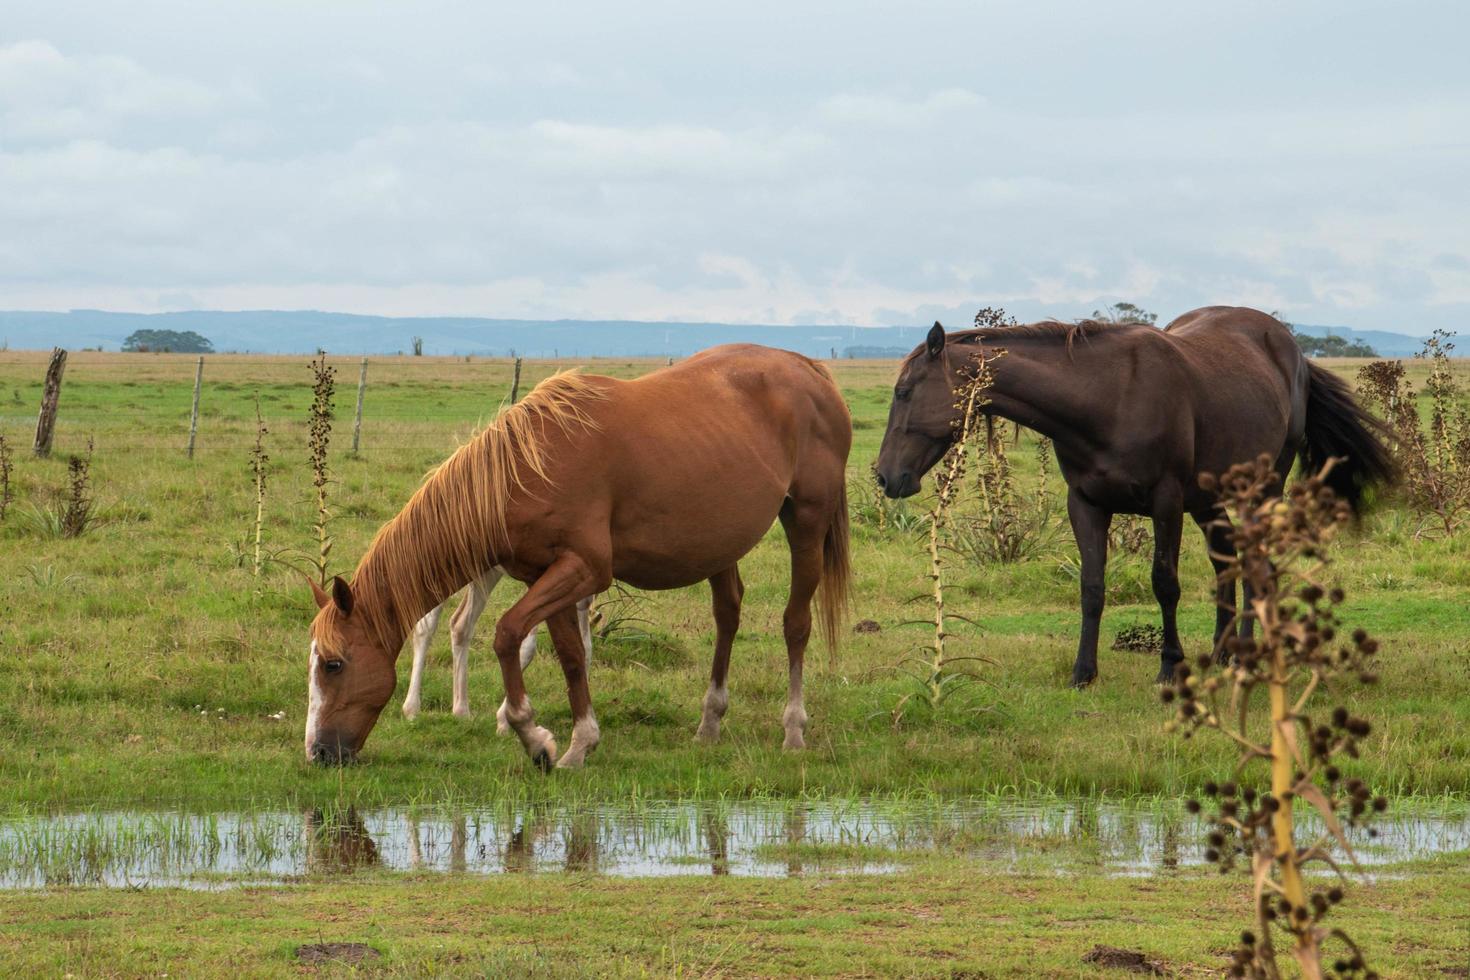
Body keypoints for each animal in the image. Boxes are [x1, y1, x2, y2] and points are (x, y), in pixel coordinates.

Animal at [302, 348, 852, 769]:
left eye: (333, 664)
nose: (319, 753)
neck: (524, 469)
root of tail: (809, 368)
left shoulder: (584, 570)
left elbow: (507, 636)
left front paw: (533, 736)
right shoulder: (547, 576)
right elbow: (568, 655)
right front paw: (578, 743)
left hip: (806, 521)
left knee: (795, 623)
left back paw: (793, 729)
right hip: (721, 543)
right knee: (728, 614)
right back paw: (709, 721)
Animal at [876, 307, 1393, 690]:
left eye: (904, 391)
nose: (885, 477)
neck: (1106, 398)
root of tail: (1291, 350)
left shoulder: (1165, 503)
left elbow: (1165, 583)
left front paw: (1170, 666)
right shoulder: (1085, 504)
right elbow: (1091, 588)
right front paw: (1083, 673)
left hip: (1261, 489)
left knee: (1256, 564)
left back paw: (1246, 656)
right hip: (1208, 501)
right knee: (1227, 561)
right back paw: (1222, 651)